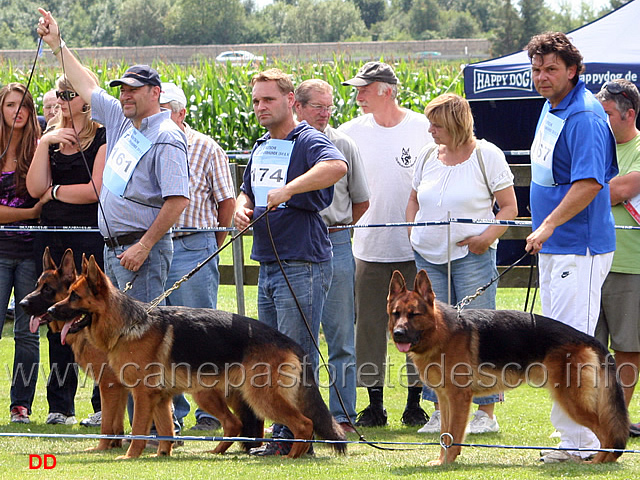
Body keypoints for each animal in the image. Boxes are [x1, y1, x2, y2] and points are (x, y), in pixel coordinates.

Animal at [18, 249, 128, 452]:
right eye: (36, 286)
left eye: (47, 289)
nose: (21, 303)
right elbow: (117, 422)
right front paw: (116, 444)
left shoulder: (108, 383)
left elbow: (108, 421)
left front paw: (103, 446)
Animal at [47, 253, 348, 460]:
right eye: (67, 293)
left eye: (74, 297)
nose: (49, 310)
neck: (128, 325)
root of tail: (290, 342)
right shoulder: (161, 398)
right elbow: (166, 431)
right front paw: (162, 455)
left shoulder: (142, 395)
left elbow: (138, 430)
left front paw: (130, 456)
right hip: (214, 394)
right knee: (236, 423)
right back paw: (219, 451)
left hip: (260, 396)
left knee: (304, 423)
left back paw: (293, 455)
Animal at [388, 270, 628, 464]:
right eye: (396, 314)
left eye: (414, 314)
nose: (397, 334)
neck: (440, 332)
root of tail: (586, 338)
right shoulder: (445, 399)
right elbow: (445, 435)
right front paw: (441, 461)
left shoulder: (458, 399)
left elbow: (454, 434)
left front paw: (446, 463)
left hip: (572, 400)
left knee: (607, 432)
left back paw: (600, 461)